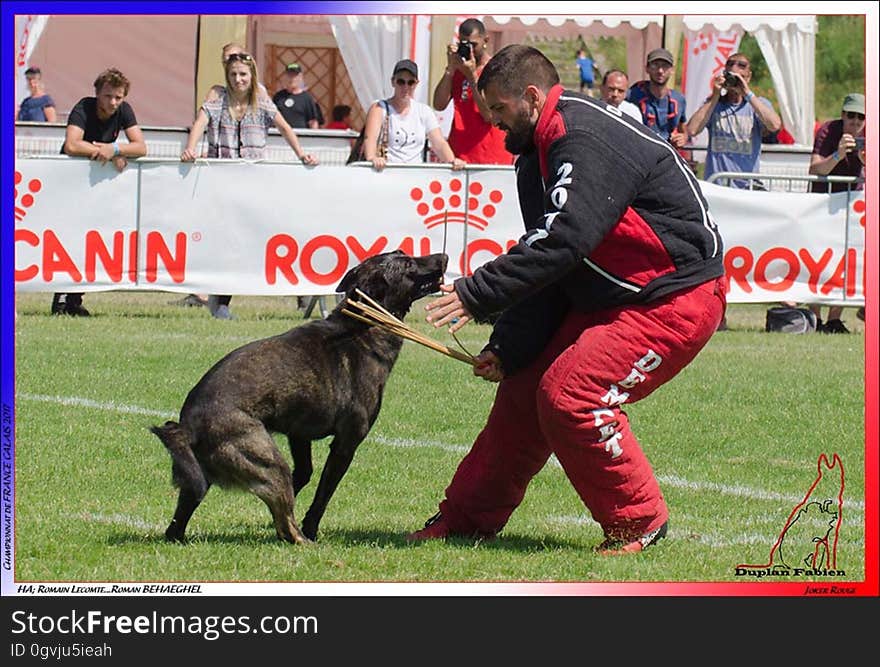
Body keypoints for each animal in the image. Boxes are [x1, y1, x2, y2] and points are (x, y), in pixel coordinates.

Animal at [150, 250, 446, 544]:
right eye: (407, 263)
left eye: (403, 254)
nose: (443, 256)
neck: (362, 324)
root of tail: (187, 427)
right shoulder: (346, 444)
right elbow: (322, 495)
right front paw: (311, 527)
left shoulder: (298, 433)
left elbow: (304, 474)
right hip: (269, 463)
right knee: (287, 526)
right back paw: (305, 540)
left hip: (201, 479)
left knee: (179, 520)